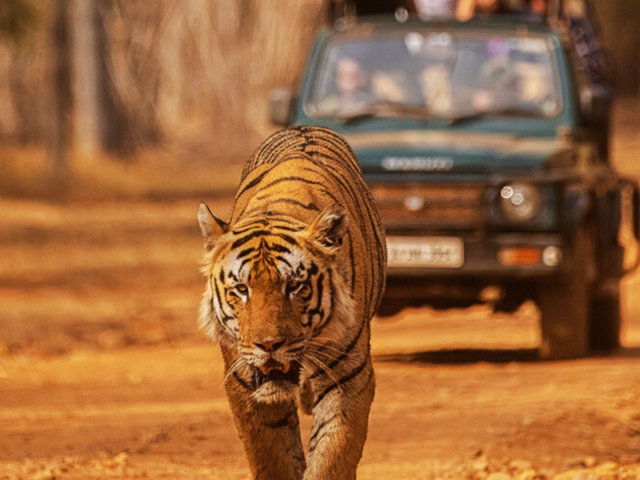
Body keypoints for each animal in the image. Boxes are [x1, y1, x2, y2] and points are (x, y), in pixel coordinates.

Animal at [198, 126, 387, 480]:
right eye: (241, 288)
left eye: (294, 286)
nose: (269, 345)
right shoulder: (244, 384)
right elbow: (273, 458)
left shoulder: (349, 379)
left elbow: (332, 458)